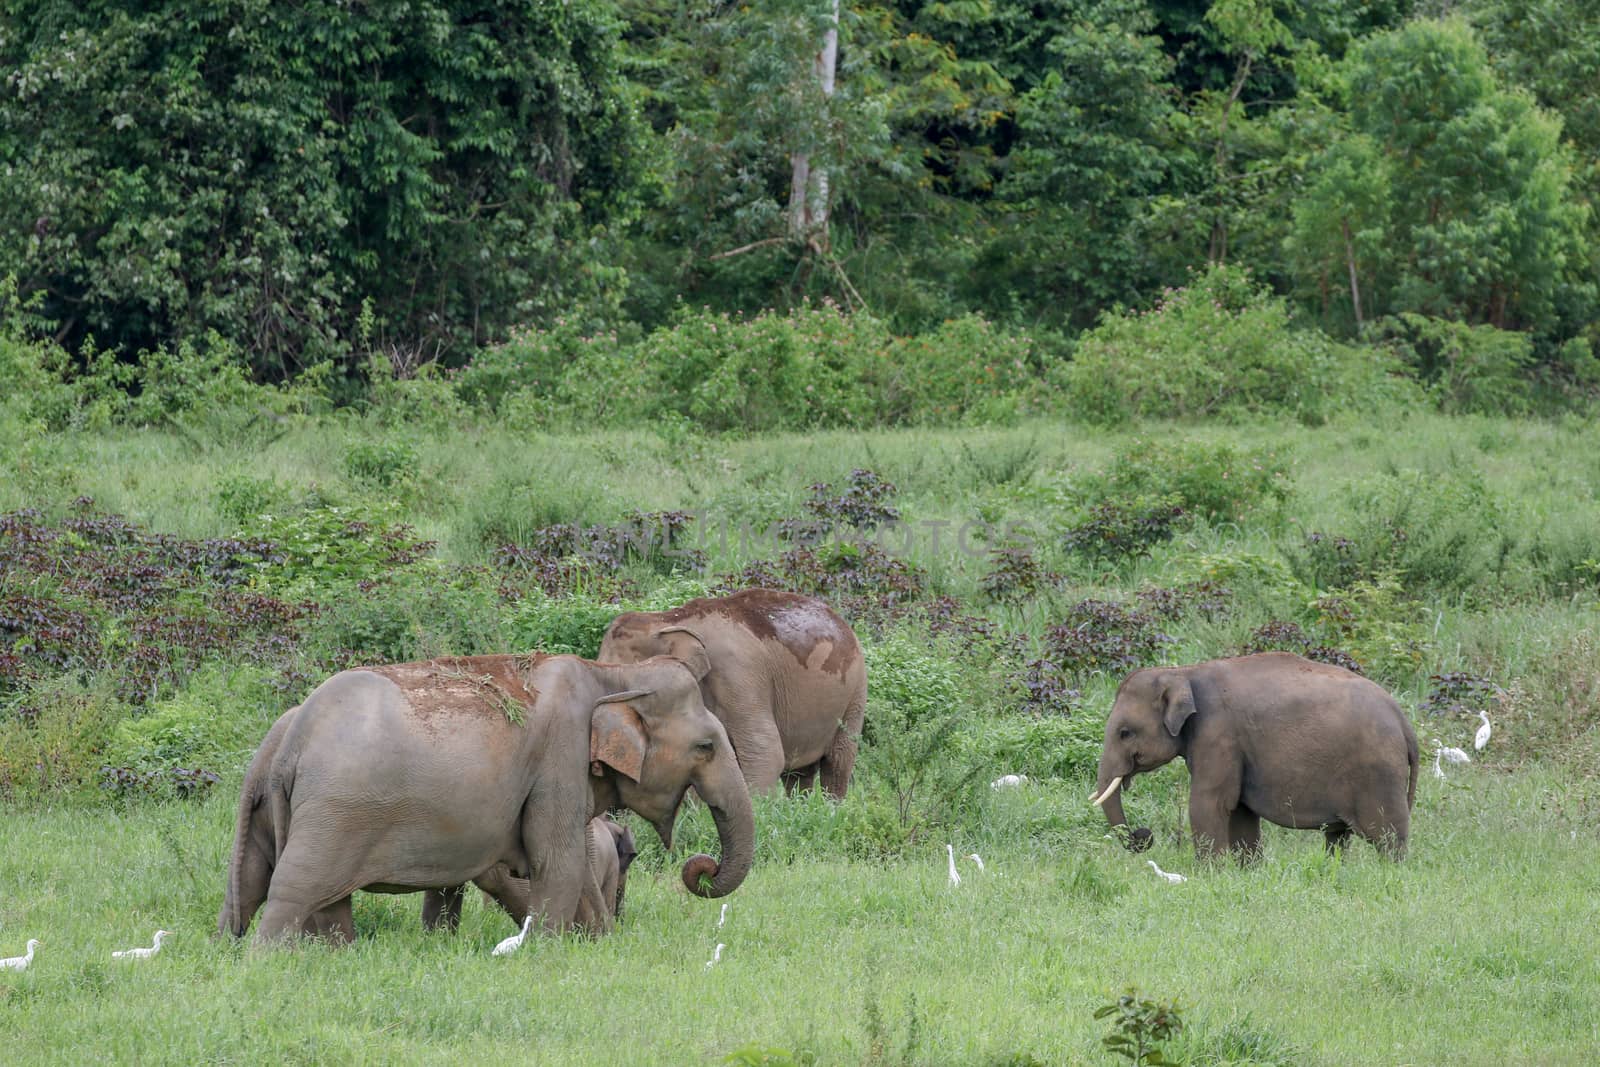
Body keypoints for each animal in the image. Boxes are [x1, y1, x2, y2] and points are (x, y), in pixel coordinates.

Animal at [217, 652, 755, 940]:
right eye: (706, 746)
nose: (702, 869)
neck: (613, 674)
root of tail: (291, 742)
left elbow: (568, 860)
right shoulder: (558, 756)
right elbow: (557, 859)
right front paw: (545, 951)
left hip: (277, 812)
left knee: (254, 881)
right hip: (335, 811)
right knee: (295, 887)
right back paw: (262, 964)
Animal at [601, 588, 870, 796]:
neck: (668, 619)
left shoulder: (739, 674)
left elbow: (766, 751)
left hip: (856, 691)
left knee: (837, 762)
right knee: (799, 773)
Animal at [1088, 655, 1427, 863]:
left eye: (1125, 733)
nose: (1143, 836)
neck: (1182, 672)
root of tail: (1404, 723)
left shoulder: (1218, 735)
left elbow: (1208, 804)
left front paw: (1208, 875)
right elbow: (1240, 812)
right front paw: (1248, 871)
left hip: (1378, 773)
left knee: (1387, 838)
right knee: (1338, 836)